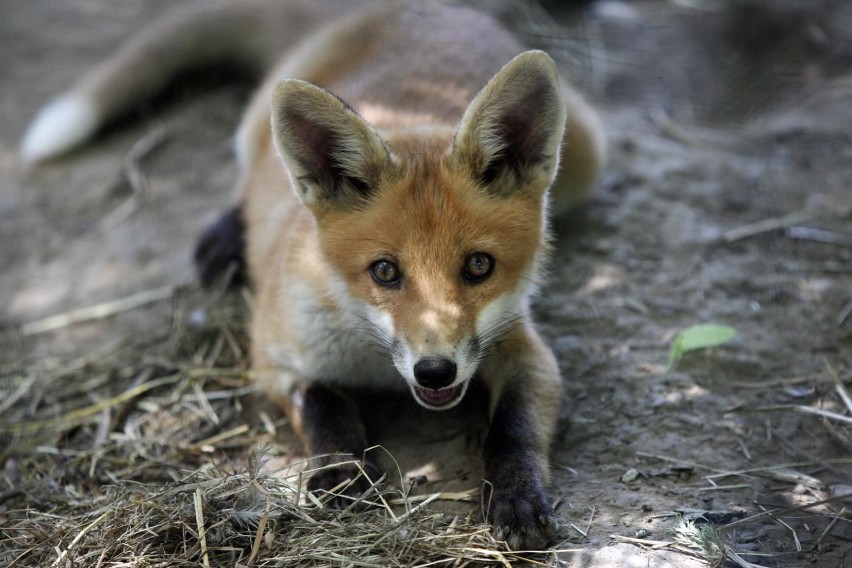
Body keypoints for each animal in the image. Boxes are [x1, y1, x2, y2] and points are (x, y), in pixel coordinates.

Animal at [20, 0, 604, 552]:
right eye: (385, 271)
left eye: (479, 266)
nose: (434, 372)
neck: (378, 368)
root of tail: (397, 9)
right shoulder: (274, 355)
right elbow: (324, 406)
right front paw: (344, 474)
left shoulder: (525, 351)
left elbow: (514, 429)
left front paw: (518, 497)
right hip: (258, 135)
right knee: (243, 173)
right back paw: (227, 238)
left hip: (586, 157)